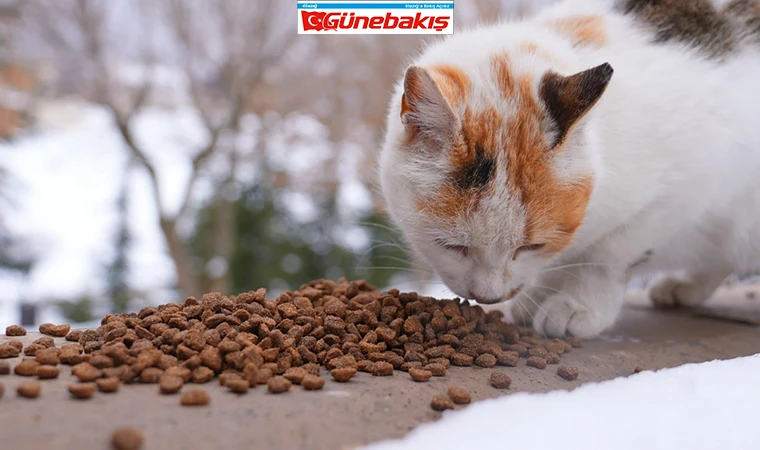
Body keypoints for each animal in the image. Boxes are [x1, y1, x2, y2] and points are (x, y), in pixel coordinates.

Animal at [378, 0, 760, 338]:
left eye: (530, 246)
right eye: (452, 246)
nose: (489, 296)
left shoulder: (692, 185)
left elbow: (609, 254)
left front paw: (579, 304)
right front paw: (539, 293)